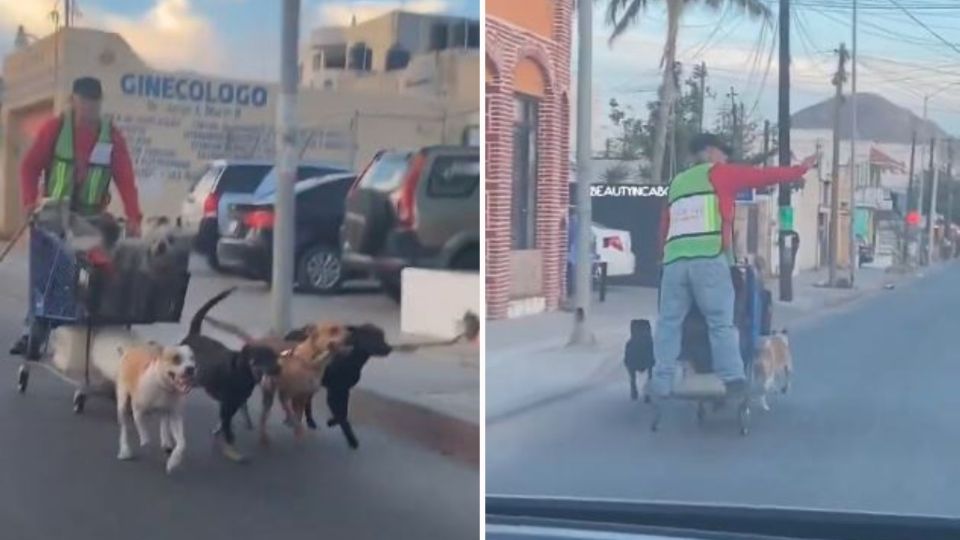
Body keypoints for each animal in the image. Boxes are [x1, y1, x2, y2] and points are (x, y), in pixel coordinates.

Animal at [116, 342, 197, 472]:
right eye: (176, 359)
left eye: (192, 358)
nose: (191, 368)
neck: (163, 386)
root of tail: (129, 351)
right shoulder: (137, 409)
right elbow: (141, 426)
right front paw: (144, 439)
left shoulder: (175, 416)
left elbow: (182, 443)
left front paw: (173, 462)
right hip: (122, 403)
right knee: (124, 428)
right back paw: (125, 450)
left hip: (165, 411)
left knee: (164, 421)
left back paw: (166, 441)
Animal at [180, 286, 280, 460]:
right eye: (261, 358)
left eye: (274, 357)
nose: (278, 369)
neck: (242, 372)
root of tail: (193, 334)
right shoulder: (228, 403)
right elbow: (226, 424)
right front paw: (230, 444)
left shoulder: (234, 402)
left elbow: (226, 421)